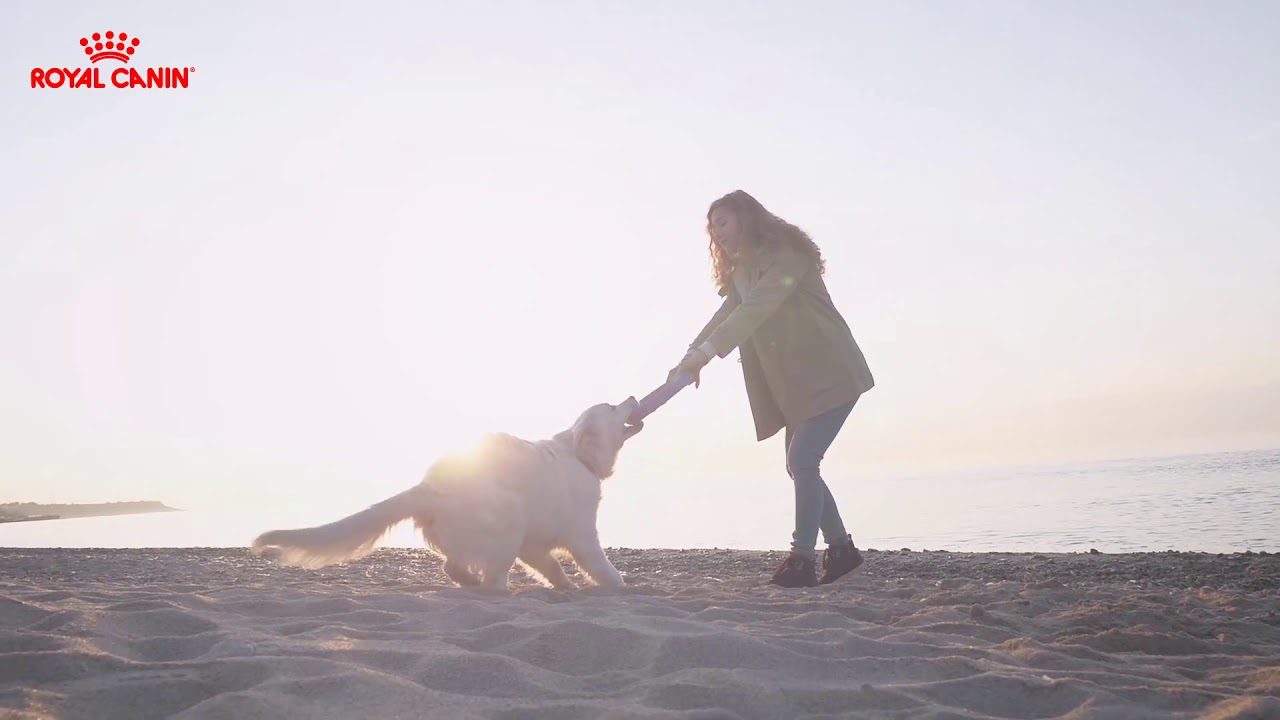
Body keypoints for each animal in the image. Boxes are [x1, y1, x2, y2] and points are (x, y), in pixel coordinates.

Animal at [250, 397, 645, 589]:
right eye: (613, 407)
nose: (632, 396)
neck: (578, 455)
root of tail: (431, 486)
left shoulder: (534, 544)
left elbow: (550, 565)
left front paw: (564, 587)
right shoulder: (582, 537)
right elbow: (603, 569)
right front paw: (621, 587)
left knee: (453, 567)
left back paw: (468, 580)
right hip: (508, 521)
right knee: (491, 580)